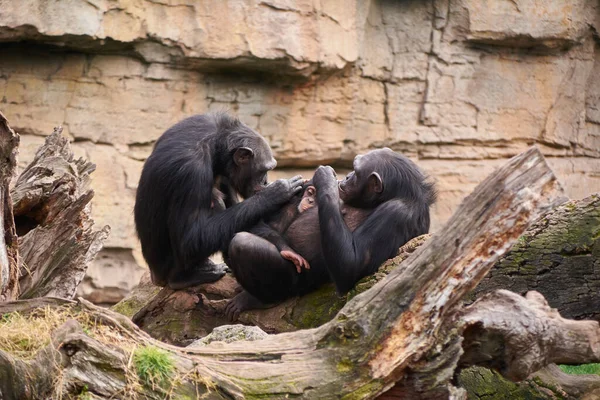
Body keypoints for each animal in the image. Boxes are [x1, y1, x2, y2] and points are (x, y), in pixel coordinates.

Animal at [135, 112, 304, 290]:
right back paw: (189, 277)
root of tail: (156, 278)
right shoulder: (192, 172)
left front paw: (284, 247)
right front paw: (275, 192)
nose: (265, 181)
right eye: (264, 170)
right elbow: (190, 238)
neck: (215, 147)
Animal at [225, 148, 436, 320]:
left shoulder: (396, 213)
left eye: (356, 172)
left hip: (297, 284)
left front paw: (326, 179)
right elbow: (260, 221)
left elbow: (351, 265)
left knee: (243, 244)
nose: (347, 176)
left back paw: (256, 299)